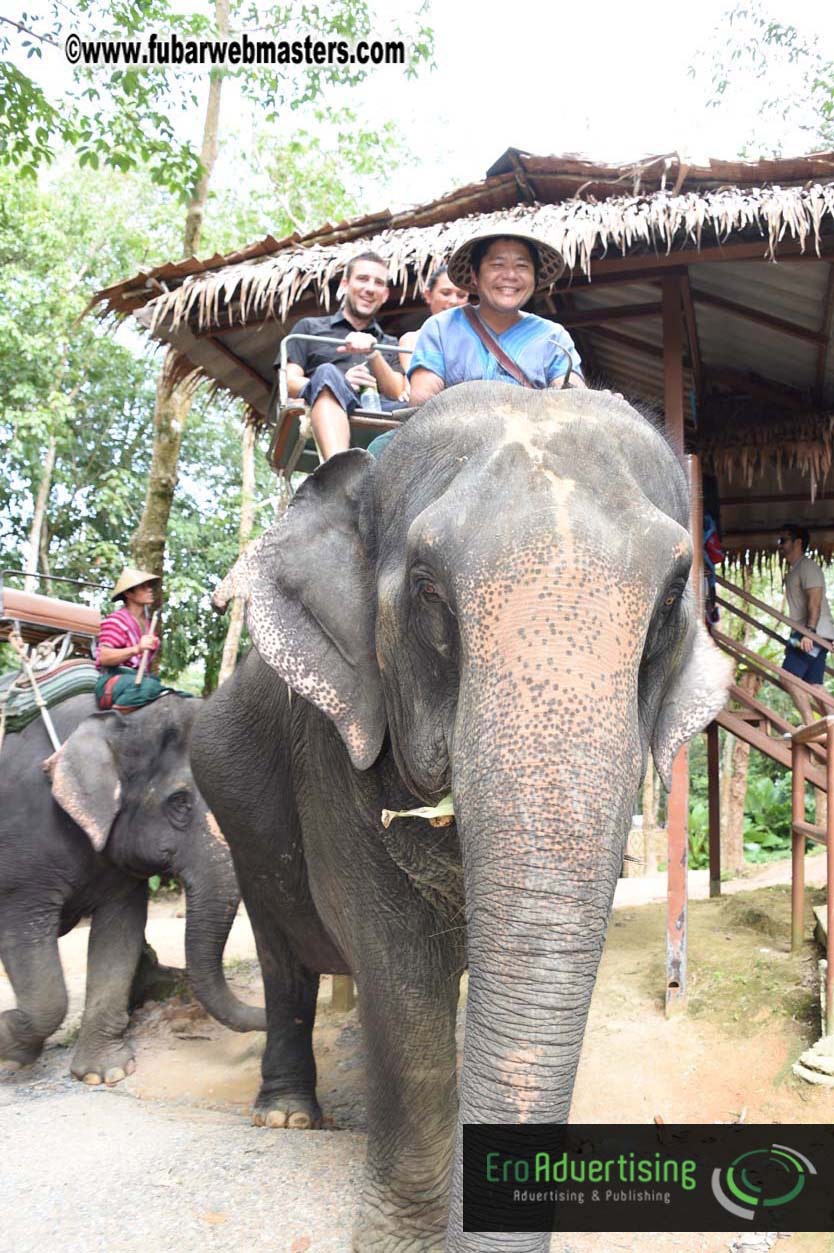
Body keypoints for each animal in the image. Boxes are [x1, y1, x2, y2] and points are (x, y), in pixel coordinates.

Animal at [0, 690, 264, 1086]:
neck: (118, 720)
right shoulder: (22, 857)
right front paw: (9, 1050)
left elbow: (118, 936)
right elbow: (28, 945)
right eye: (180, 802)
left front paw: (105, 1073)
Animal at [191, 382, 731, 1252]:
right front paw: (399, 1239)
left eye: (672, 602)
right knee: (282, 960)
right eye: (428, 593)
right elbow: (399, 968)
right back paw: (287, 1115)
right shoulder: (331, 750)